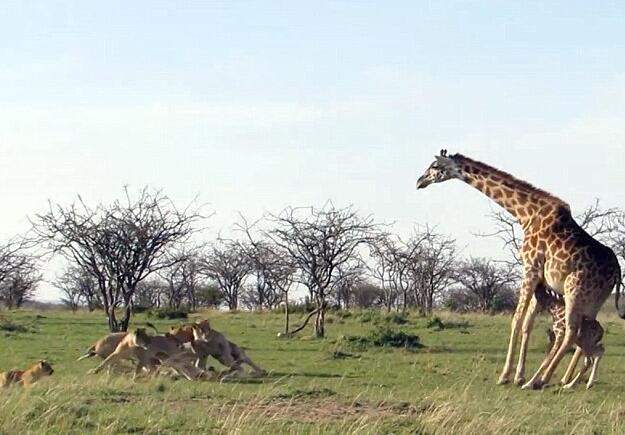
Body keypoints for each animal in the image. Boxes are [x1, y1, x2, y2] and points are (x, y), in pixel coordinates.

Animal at [414, 152, 620, 390]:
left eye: (434, 165)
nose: (419, 181)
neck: (526, 215)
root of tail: (617, 271)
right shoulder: (540, 279)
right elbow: (527, 324)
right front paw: (519, 375)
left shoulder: (530, 267)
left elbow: (516, 319)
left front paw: (505, 376)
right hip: (594, 299)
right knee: (584, 332)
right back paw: (566, 380)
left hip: (574, 291)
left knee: (571, 332)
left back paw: (542, 380)